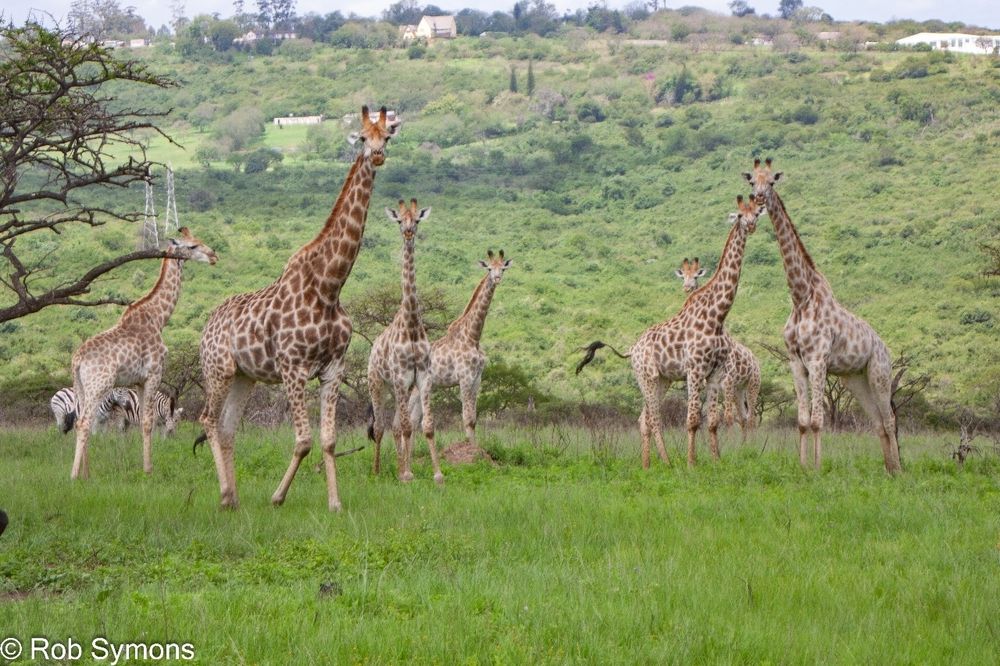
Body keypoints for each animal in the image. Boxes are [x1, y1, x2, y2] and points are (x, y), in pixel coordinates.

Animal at [70, 227, 217, 480]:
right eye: (193, 246)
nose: (214, 256)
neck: (159, 318)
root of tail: (77, 360)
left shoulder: (138, 380)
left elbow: (140, 422)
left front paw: (145, 466)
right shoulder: (154, 373)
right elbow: (148, 421)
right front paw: (148, 470)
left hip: (81, 387)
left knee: (81, 420)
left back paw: (86, 474)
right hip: (99, 384)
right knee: (85, 423)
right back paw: (73, 476)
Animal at [198, 106, 400, 511]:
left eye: (387, 136)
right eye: (362, 136)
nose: (377, 156)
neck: (329, 286)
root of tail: (207, 325)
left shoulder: (333, 369)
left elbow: (328, 441)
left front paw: (335, 504)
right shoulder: (293, 368)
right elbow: (304, 441)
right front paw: (277, 497)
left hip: (244, 376)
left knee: (227, 427)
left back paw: (235, 498)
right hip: (218, 369)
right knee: (208, 420)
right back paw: (225, 495)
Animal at [367, 199, 444, 484]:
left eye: (417, 219)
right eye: (400, 220)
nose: (409, 233)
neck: (411, 324)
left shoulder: (422, 376)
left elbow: (426, 426)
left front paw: (436, 474)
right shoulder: (401, 375)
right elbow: (409, 427)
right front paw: (408, 474)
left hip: (398, 388)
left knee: (395, 425)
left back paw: (399, 467)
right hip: (377, 383)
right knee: (380, 427)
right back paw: (378, 471)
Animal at [674, 258, 761, 438]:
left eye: (696, 276)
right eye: (683, 276)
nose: (687, 288)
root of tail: (757, 363)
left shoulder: (727, 381)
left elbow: (726, 416)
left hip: (753, 384)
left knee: (751, 418)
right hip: (738, 389)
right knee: (744, 417)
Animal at [744, 158, 901, 473]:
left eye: (773, 180)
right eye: (752, 180)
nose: (758, 197)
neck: (801, 296)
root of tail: (884, 347)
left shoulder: (817, 360)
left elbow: (818, 421)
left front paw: (817, 468)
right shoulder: (795, 361)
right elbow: (803, 422)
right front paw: (803, 466)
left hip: (880, 372)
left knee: (890, 420)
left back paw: (900, 470)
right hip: (855, 379)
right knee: (878, 421)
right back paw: (888, 470)